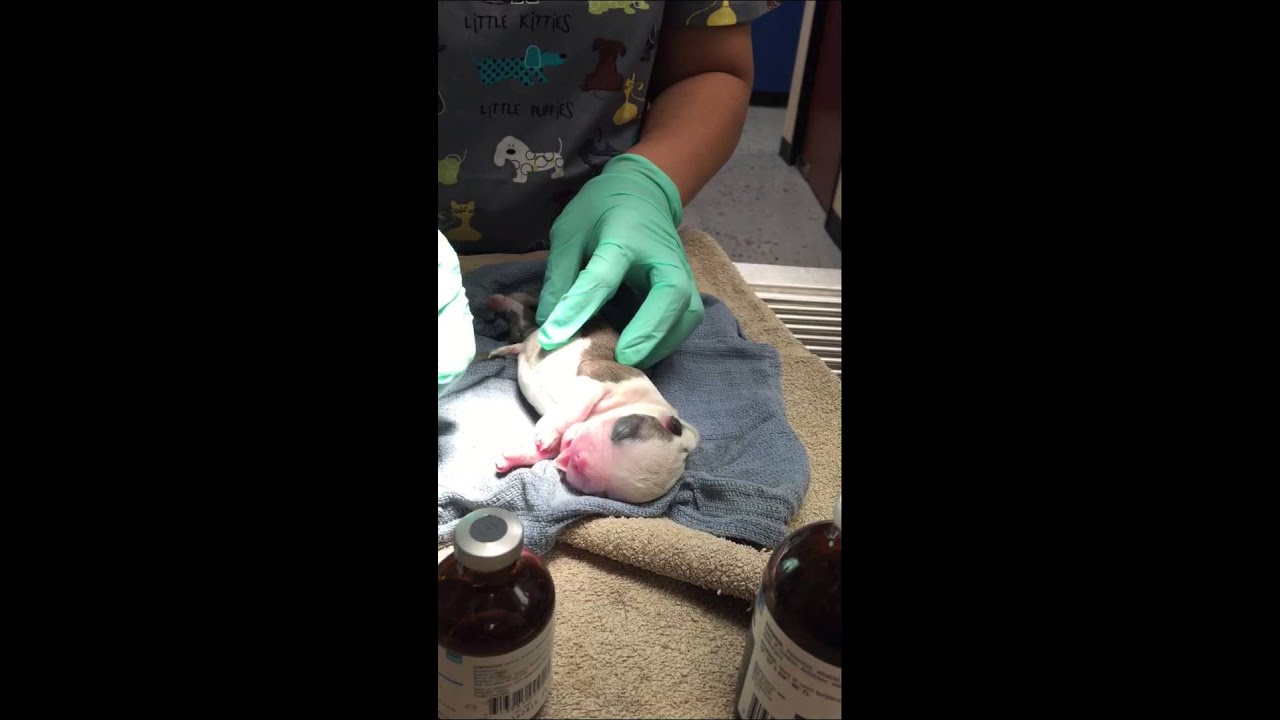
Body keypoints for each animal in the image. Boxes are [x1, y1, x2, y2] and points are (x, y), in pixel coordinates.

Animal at [481, 291, 699, 504]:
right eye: (623, 431)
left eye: (605, 494)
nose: (579, 459)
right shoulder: (597, 378)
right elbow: (576, 407)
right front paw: (547, 431)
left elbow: (545, 451)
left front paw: (512, 457)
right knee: (524, 307)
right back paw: (499, 301)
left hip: (525, 333)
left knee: (520, 321)